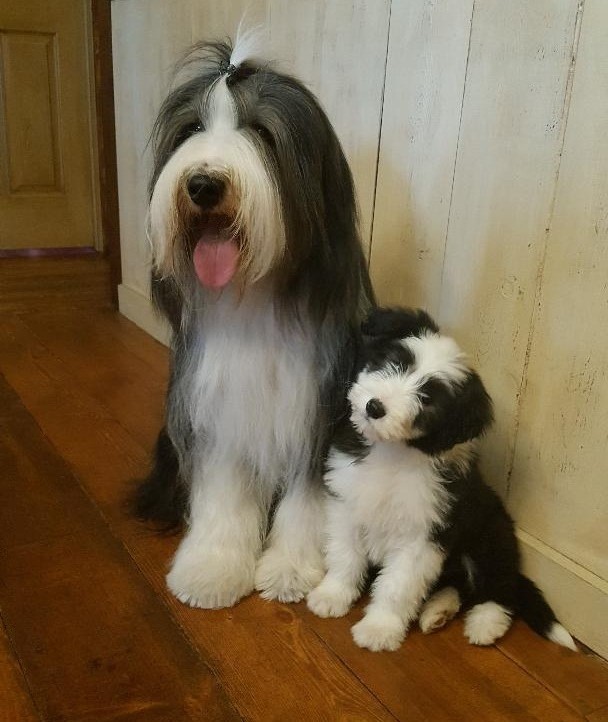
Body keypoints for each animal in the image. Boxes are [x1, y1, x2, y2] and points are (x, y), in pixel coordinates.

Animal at [308, 306, 576, 648]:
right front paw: (333, 595)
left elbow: (398, 586)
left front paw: (380, 628)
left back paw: (485, 623)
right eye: (397, 363)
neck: (392, 455)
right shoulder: (347, 506)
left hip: (491, 536)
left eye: (427, 399)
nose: (375, 407)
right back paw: (438, 612)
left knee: (500, 586)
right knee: (458, 586)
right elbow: (345, 555)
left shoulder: (423, 536)